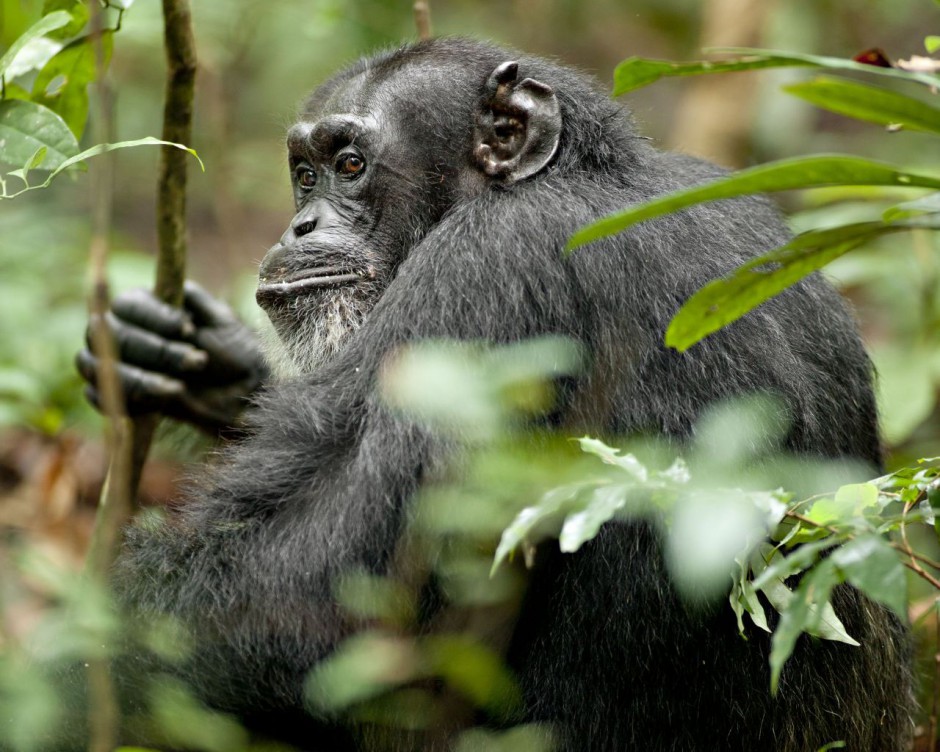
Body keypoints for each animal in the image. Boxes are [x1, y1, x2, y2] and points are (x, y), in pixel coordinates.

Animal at [77, 36, 916, 752]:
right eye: (305, 173)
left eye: (350, 164)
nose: (302, 222)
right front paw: (186, 360)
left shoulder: (486, 281)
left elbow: (313, 594)